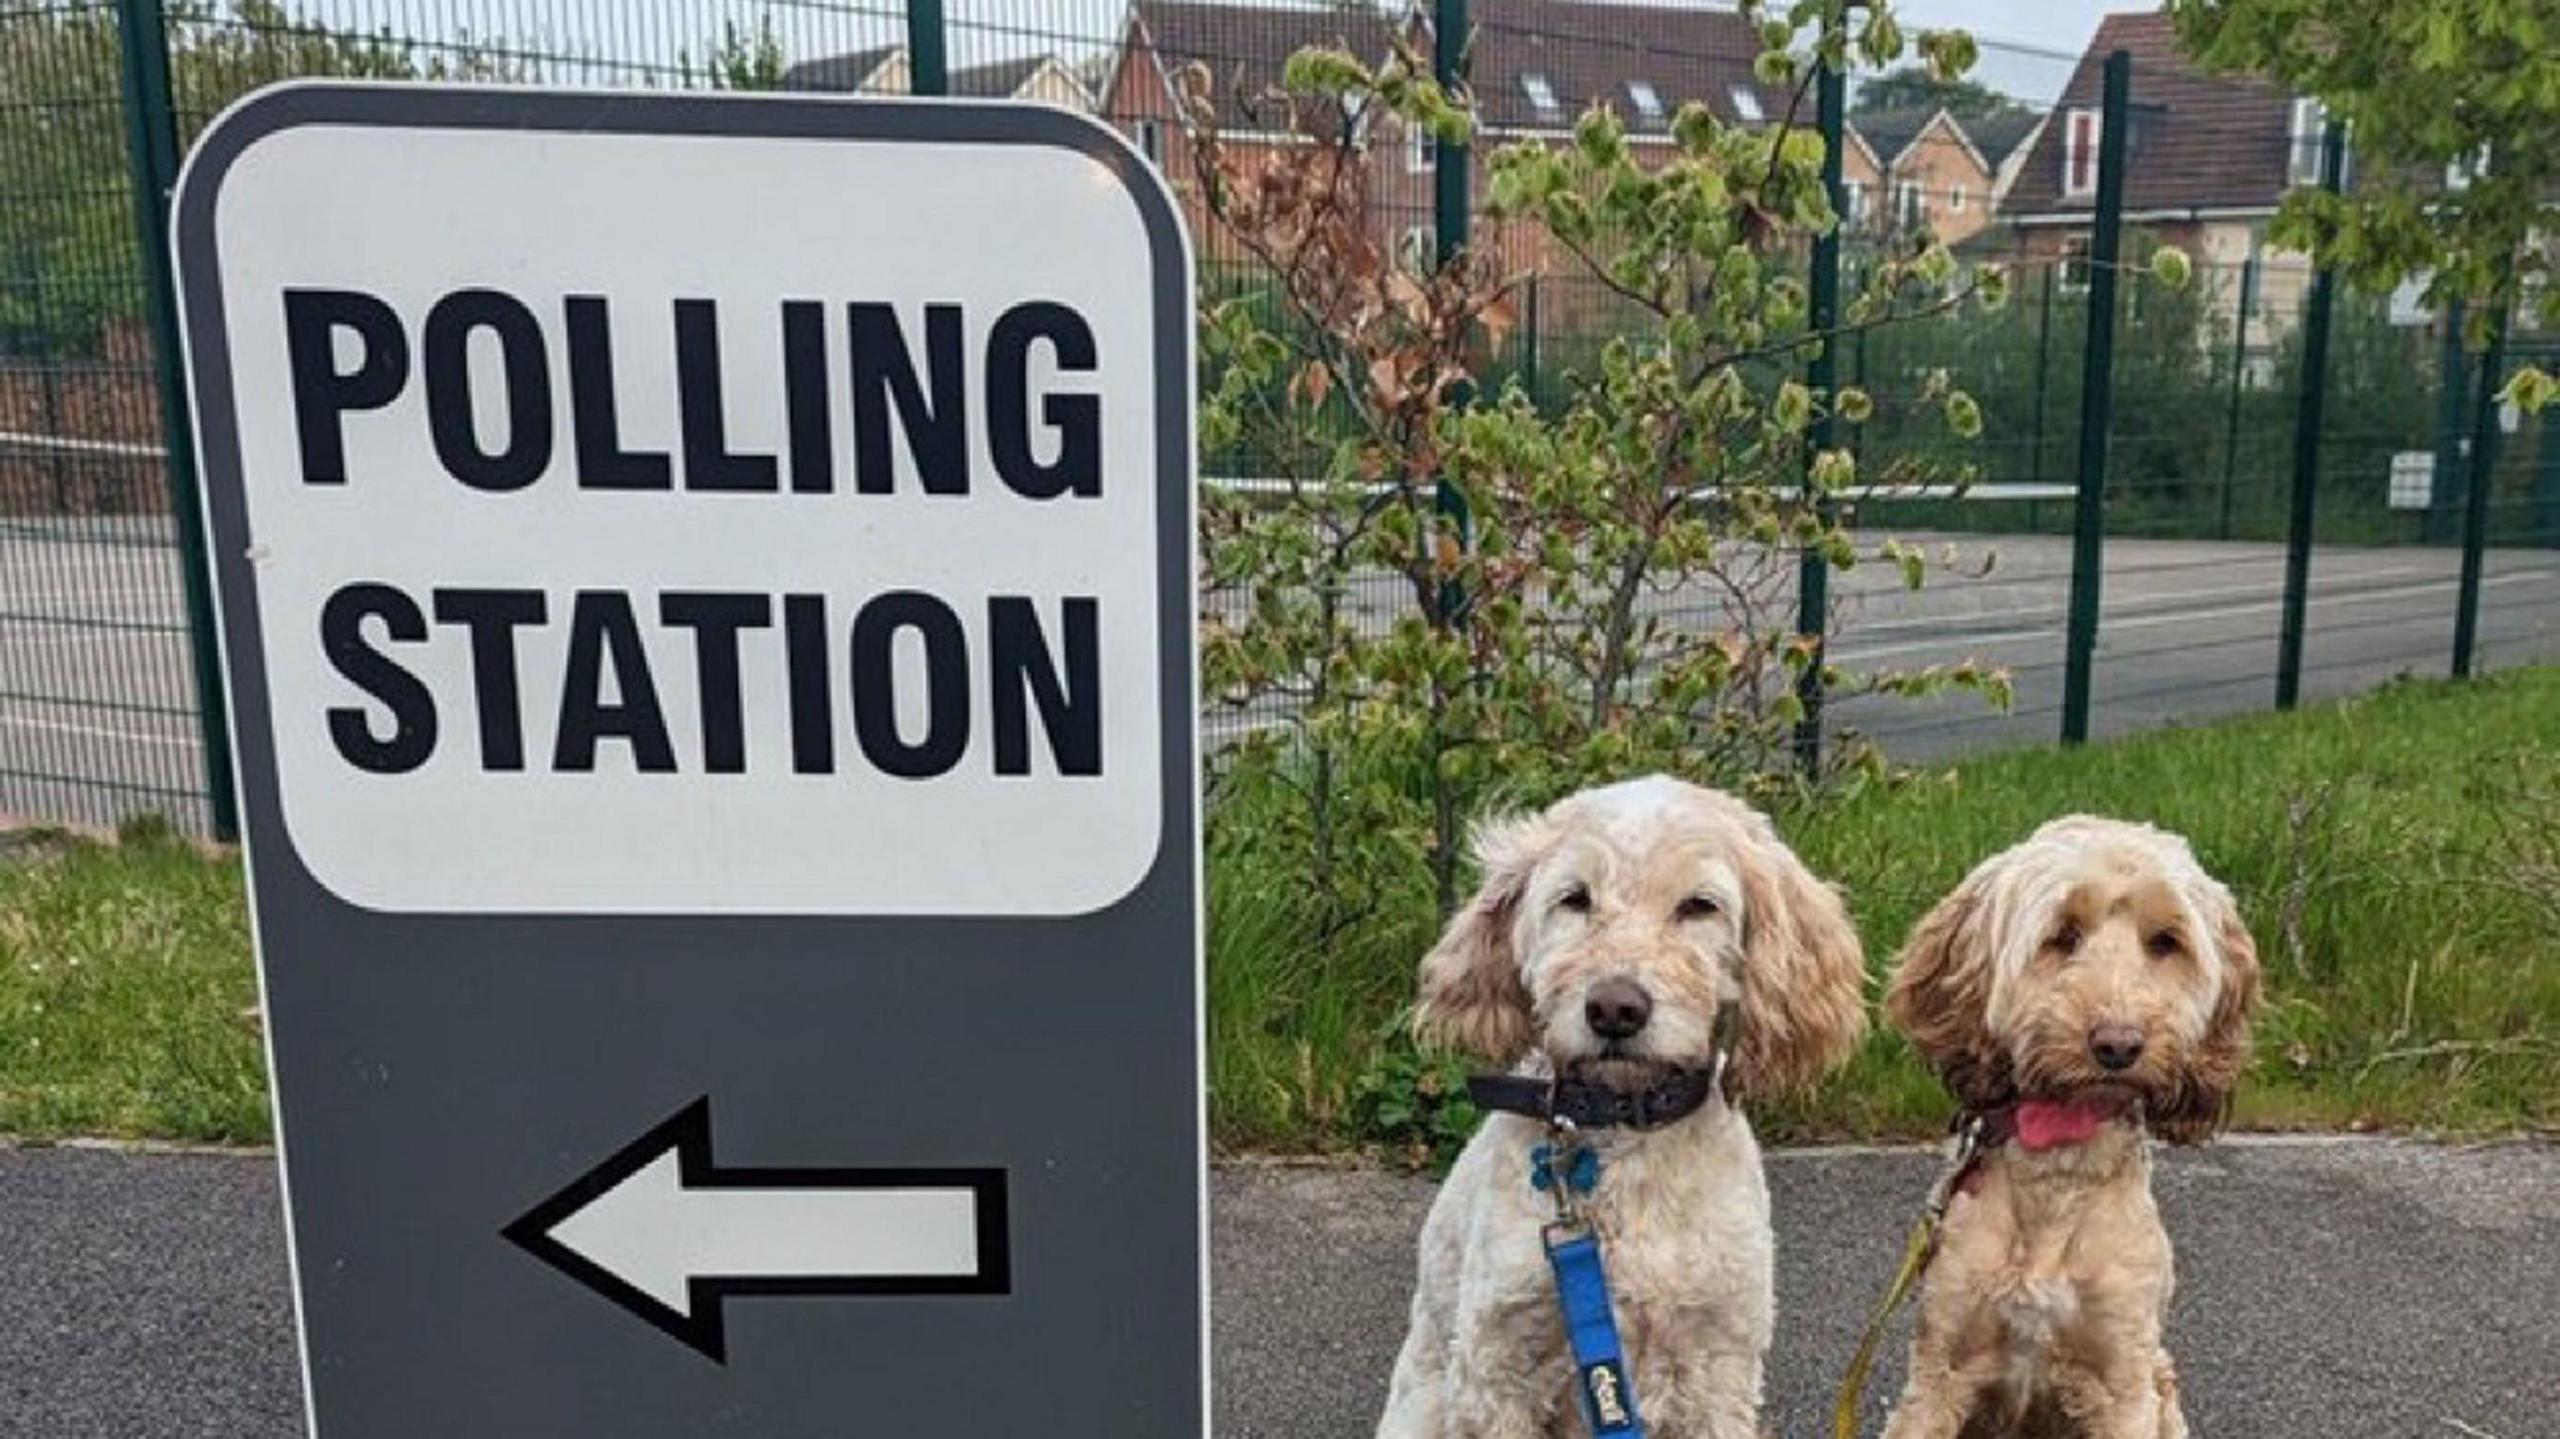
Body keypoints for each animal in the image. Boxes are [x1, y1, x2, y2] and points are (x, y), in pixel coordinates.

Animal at [1372, 773, 1873, 1433]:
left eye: (1699, 906)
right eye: (1575, 898)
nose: (1614, 1008)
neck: (1625, 1131)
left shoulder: (1718, 1364)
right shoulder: (1496, 1365)